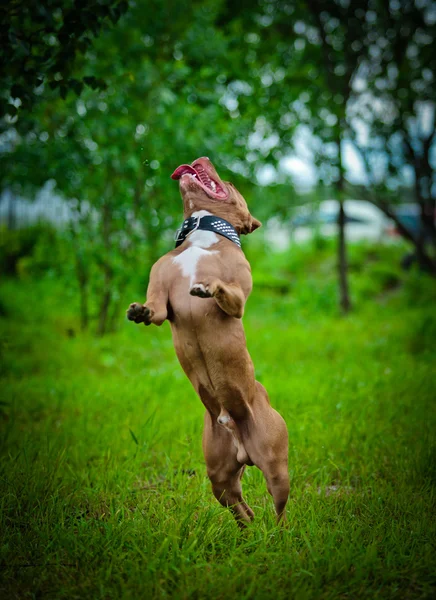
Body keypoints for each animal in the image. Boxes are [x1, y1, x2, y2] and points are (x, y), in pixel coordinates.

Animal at [126, 157, 290, 528]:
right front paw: (139, 310)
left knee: (279, 507)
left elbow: (227, 291)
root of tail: (238, 435)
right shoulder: (161, 299)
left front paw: (209, 287)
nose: (203, 159)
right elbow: (154, 309)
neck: (203, 236)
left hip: (276, 465)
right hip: (219, 475)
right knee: (242, 509)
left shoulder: (238, 299)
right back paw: (251, 533)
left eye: (229, 182)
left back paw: (280, 535)